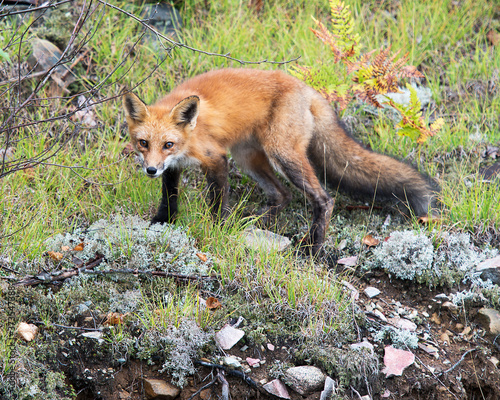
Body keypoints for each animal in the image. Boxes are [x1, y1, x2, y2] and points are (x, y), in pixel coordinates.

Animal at [123, 68, 436, 255]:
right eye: (143, 143)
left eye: (168, 144)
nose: (150, 169)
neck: (189, 137)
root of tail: (307, 88)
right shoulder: (173, 167)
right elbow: (169, 197)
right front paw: (162, 223)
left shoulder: (216, 158)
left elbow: (217, 205)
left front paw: (216, 231)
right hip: (249, 158)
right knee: (282, 195)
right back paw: (253, 221)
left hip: (281, 154)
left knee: (324, 199)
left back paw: (313, 247)